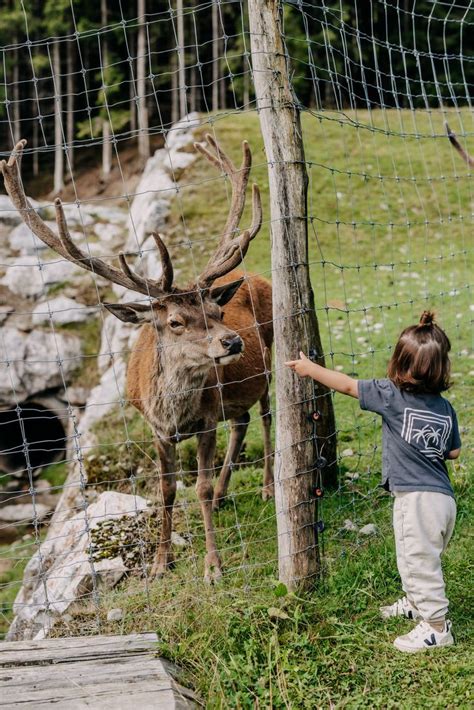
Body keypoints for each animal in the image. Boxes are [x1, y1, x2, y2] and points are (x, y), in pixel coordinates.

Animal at [0, 134, 274, 584]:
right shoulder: (155, 429)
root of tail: (254, 277)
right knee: (244, 419)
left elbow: (196, 486)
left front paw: (213, 566)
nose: (233, 342)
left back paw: (268, 486)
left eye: (215, 312)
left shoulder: (206, 420)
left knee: (267, 415)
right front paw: (162, 562)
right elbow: (166, 490)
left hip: (271, 358)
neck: (174, 413)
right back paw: (223, 495)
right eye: (176, 322)